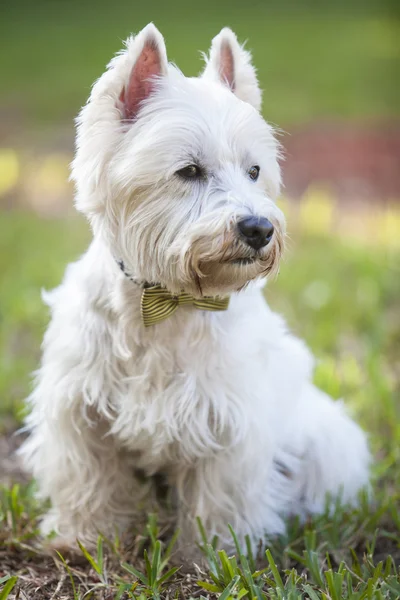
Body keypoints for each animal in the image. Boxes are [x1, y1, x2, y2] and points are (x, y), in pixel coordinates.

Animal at [19, 25, 368, 556]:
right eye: (189, 171)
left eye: (254, 171)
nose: (259, 229)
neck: (168, 299)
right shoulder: (78, 413)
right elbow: (90, 482)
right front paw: (85, 540)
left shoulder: (229, 422)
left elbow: (218, 499)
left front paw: (213, 555)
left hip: (326, 440)